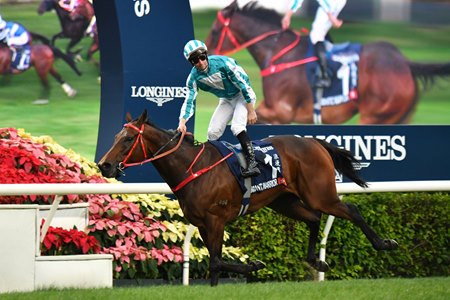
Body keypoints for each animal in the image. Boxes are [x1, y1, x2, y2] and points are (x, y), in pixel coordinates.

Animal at [98, 109, 398, 286]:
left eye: (127, 140)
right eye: (115, 136)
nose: (104, 165)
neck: (192, 167)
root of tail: (313, 141)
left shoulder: (215, 220)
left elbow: (216, 261)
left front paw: (255, 264)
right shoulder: (203, 224)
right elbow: (215, 263)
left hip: (320, 194)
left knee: (351, 210)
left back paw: (384, 243)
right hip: (284, 201)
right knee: (314, 218)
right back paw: (316, 260)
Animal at [205, 0, 450, 123]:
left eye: (215, 31)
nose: (205, 56)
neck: (277, 53)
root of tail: (405, 63)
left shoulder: (281, 111)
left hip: (376, 115)